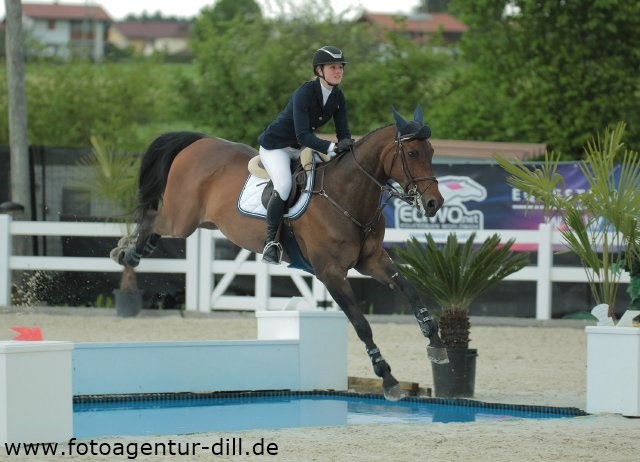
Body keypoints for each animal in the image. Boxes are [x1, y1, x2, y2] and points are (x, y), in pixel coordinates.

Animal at [112, 106, 448, 398]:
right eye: (412, 153)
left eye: (431, 152)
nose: (434, 203)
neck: (347, 195)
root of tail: (199, 142)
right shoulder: (331, 273)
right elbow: (361, 324)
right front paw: (387, 378)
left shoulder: (371, 260)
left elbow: (409, 289)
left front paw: (435, 341)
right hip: (181, 220)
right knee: (151, 218)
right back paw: (126, 254)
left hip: (200, 222)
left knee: (154, 224)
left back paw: (133, 250)